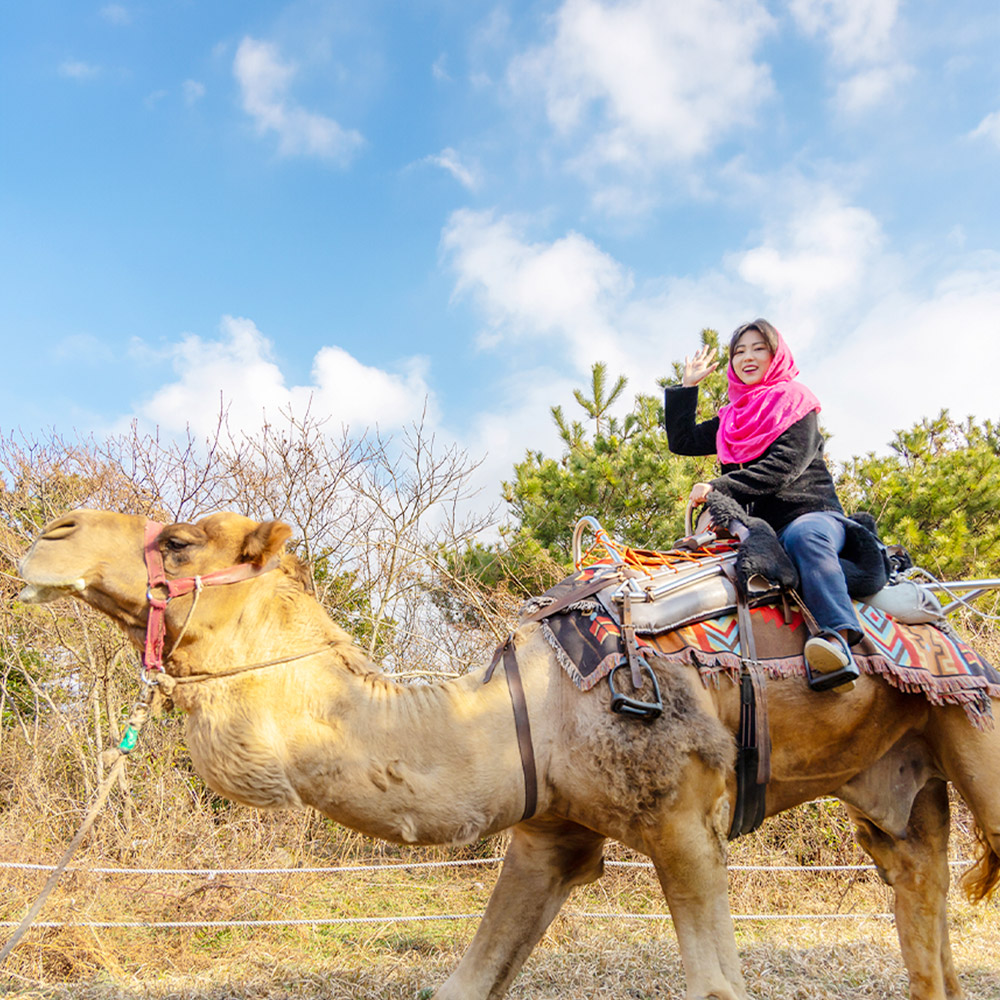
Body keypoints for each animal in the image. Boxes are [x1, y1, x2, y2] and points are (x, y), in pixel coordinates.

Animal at [15, 508, 1000, 1000]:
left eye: (179, 542)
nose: (48, 534)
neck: (523, 708)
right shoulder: (549, 832)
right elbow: (465, 982)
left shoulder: (684, 819)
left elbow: (719, 989)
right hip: (900, 787)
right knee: (925, 927)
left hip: (976, 722)